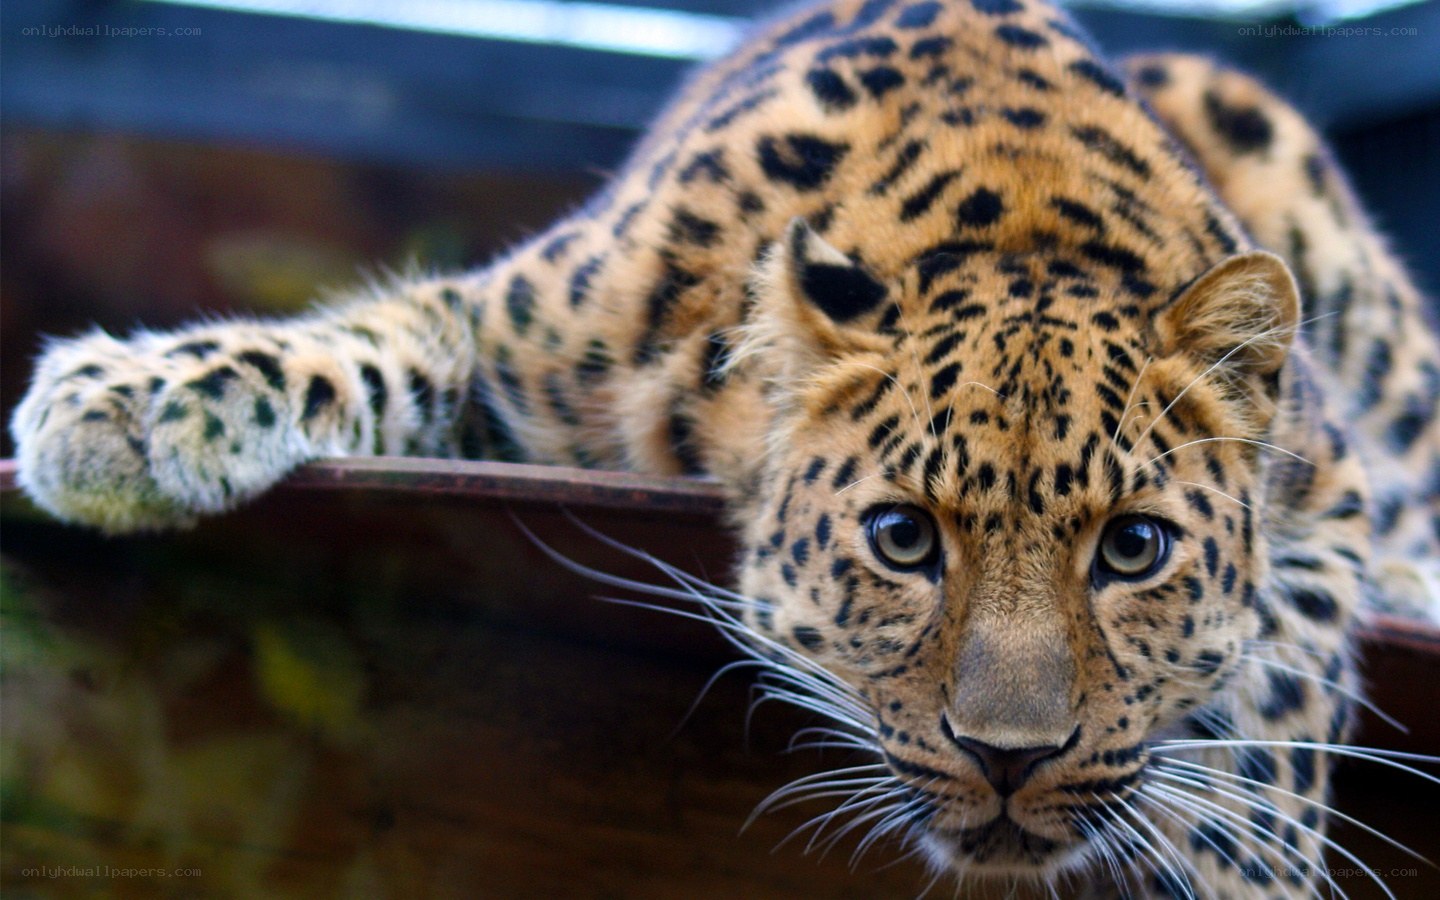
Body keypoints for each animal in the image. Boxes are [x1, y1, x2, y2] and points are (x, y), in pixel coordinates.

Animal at [10, 0, 1440, 896]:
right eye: (903, 539)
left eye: (1134, 549)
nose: (1009, 758)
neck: (1017, 217)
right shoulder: (518, 327)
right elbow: (370, 338)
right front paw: (131, 402)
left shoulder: (1329, 483)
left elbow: (1280, 685)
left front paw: (1251, 864)